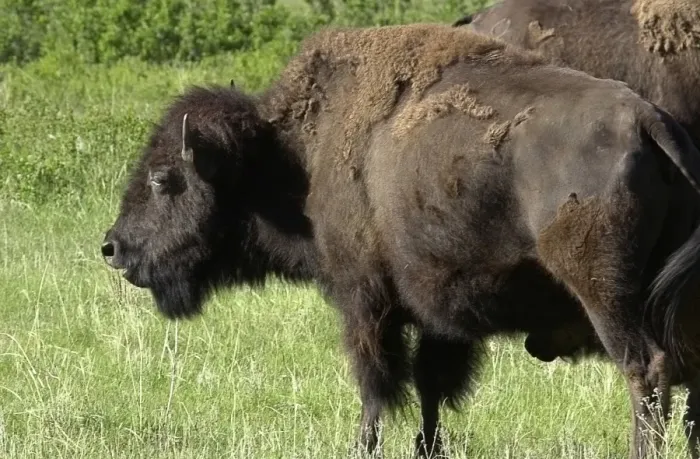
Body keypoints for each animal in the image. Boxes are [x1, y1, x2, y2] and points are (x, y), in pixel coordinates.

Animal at [102, 24, 700, 458]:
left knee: (645, 369)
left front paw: (361, 446)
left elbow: (376, 383)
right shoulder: (438, 309)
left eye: (163, 180)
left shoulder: (364, 298)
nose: (112, 248)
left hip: (607, 295)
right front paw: (426, 448)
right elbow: (430, 384)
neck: (291, 155)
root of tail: (650, 122)